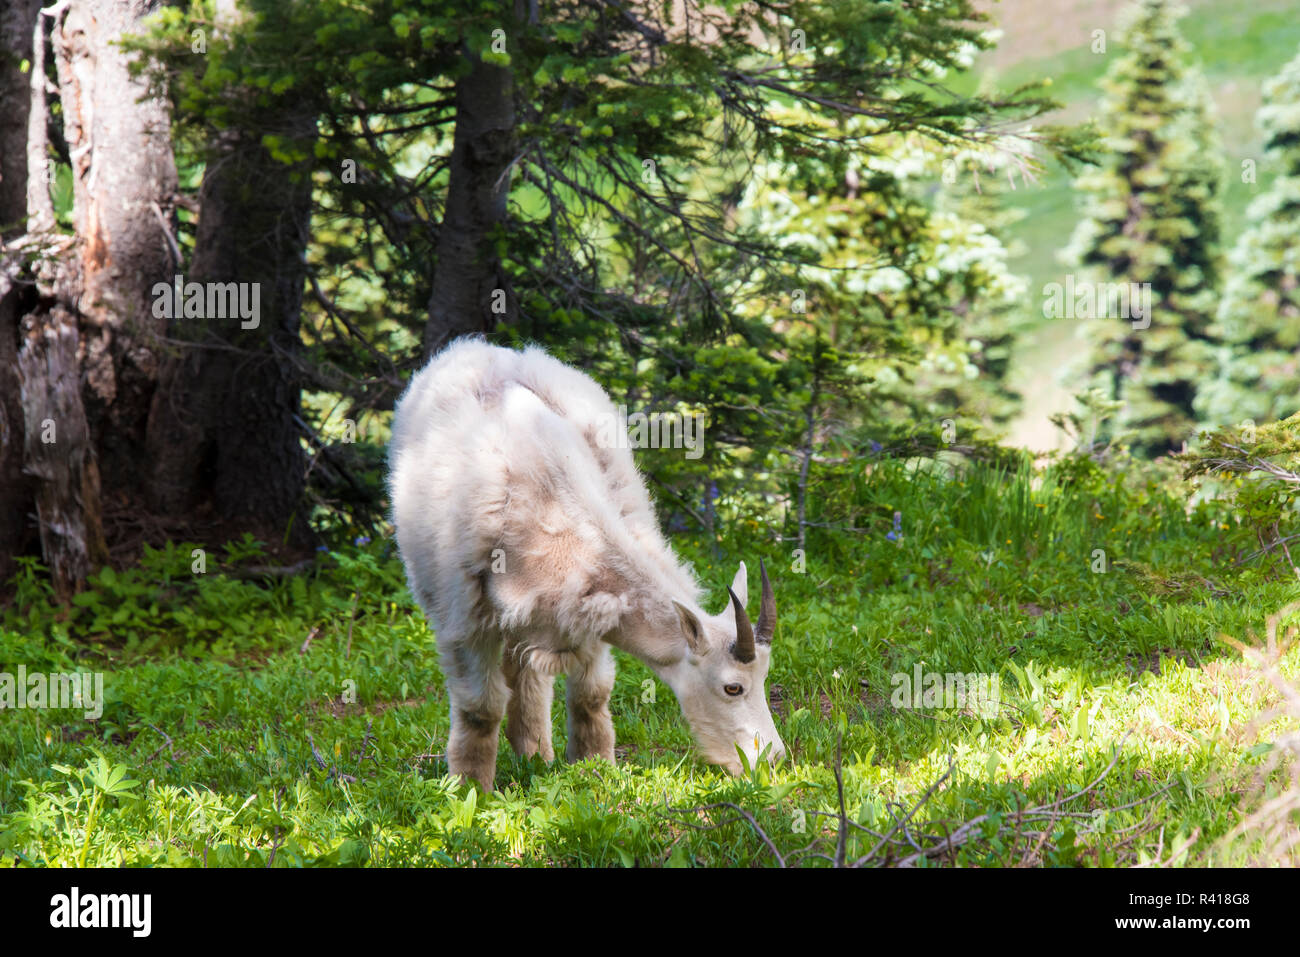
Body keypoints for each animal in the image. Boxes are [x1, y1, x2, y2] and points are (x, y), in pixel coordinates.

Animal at [384, 340, 785, 790]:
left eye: (765, 678)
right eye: (733, 687)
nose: (772, 760)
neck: (549, 502)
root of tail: (474, 346)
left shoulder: (587, 606)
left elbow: (591, 695)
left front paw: (595, 771)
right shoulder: (466, 618)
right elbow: (480, 709)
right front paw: (470, 789)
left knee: (527, 673)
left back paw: (535, 756)